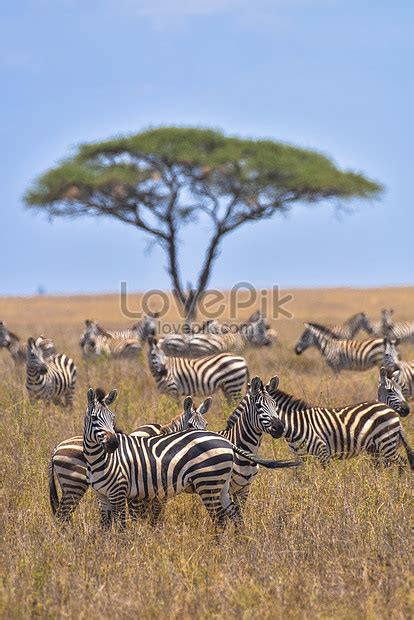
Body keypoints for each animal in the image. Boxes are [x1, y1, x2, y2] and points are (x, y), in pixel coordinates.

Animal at [48, 394, 210, 520]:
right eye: (190, 425)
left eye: (206, 424)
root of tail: (56, 448)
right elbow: (154, 516)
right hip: (74, 485)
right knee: (63, 516)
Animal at [266, 372, 414, 470]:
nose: (406, 410)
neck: (296, 423)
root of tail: (390, 409)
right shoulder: (301, 457)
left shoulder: (322, 451)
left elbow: (327, 475)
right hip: (376, 448)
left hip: (386, 443)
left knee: (402, 461)